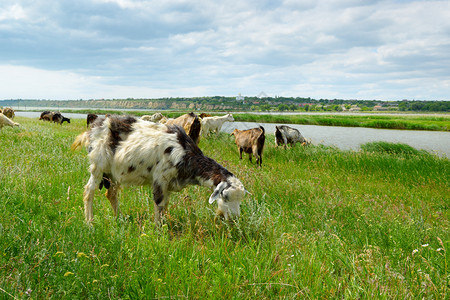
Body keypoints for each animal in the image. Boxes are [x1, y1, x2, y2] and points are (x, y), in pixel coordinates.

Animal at [71, 115, 246, 225]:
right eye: (225, 196)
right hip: (98, 165)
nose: (235, 218)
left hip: (113, 173)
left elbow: (165, 206)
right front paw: (158, 232)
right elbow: (159, 204)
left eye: (241, 199)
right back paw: (90, 223)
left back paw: (119, 218)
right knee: (88, 191)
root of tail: (94, 127)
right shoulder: (160, 179)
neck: (185, 153)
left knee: (111, 194)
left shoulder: (168, 185)